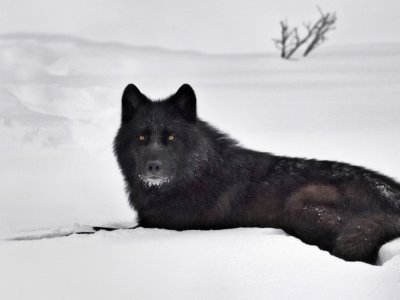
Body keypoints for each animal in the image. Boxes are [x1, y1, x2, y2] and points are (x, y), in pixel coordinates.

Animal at [113, 83, 400, 264]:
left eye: (171, 137)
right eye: (141, 137)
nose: (153, 167)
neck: (193, 176)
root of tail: (392, 199)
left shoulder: (161, 226)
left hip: (301, 203)